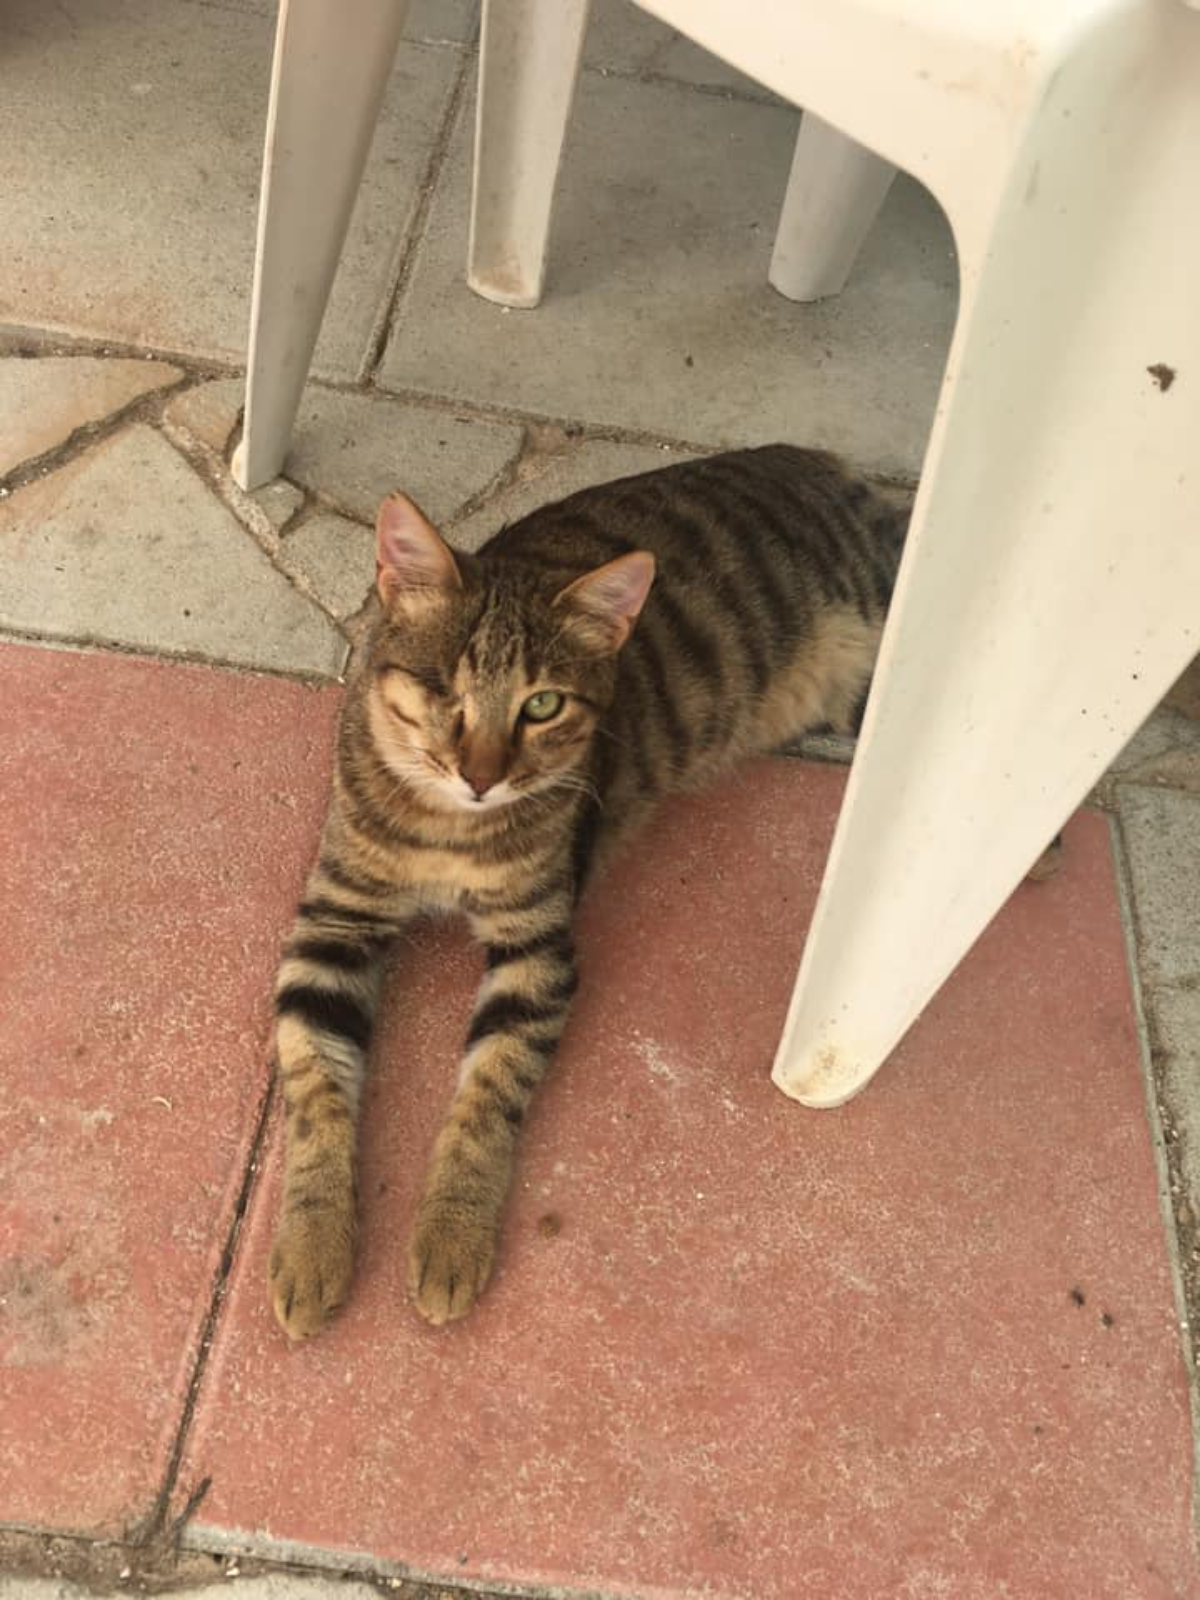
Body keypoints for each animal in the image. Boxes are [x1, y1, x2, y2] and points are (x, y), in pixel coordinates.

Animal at [267, 443, 908, 1340]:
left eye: (542, 705)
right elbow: (316, 1086)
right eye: (443, 692)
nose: (480, 777)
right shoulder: (335, 920)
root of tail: (822, 462)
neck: (449, 833)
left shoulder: (539, 949)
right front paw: (313, 1243)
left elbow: (487, 1096)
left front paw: (450, 1236)